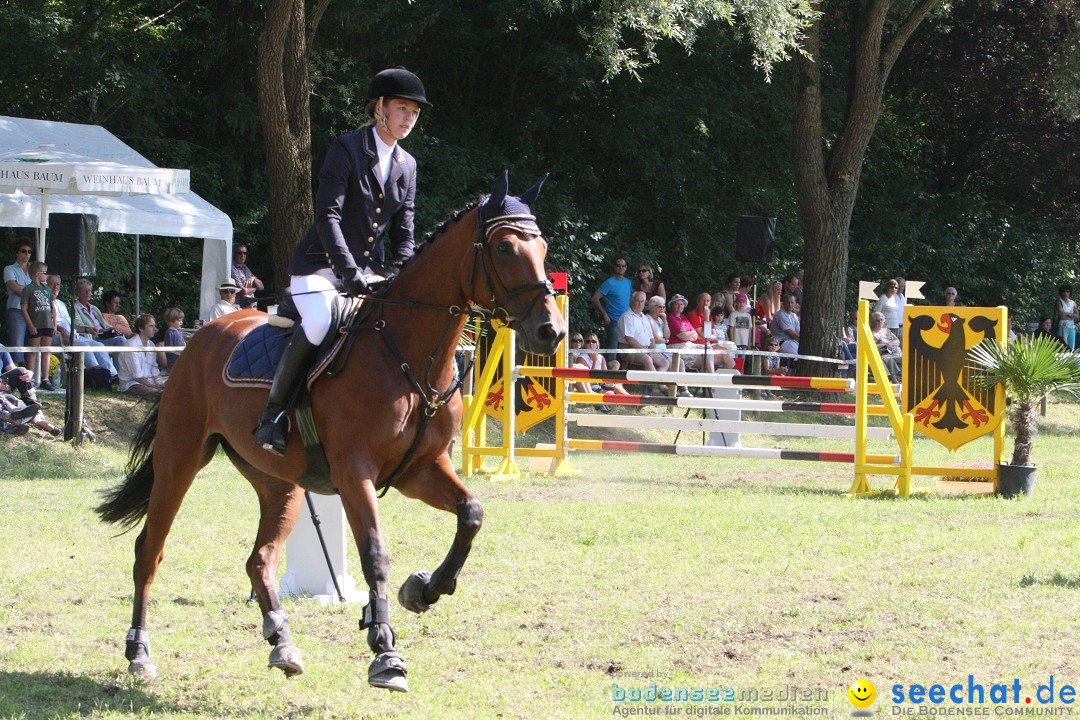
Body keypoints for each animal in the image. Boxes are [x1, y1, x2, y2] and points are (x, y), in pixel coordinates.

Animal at [95, 171, 565, 695]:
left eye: (542, 245)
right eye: (503, 247)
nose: (551, 332)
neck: (409, 353)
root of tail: (202, 336)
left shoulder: (420, 469)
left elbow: (472, 513)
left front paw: (424, 590)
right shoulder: (354, 472)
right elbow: (375, 554)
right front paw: (385, 651)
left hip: (278, 482)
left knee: (260, 560)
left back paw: (282, 643)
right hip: (179, 459)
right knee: (149, 552)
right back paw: (139, 652)